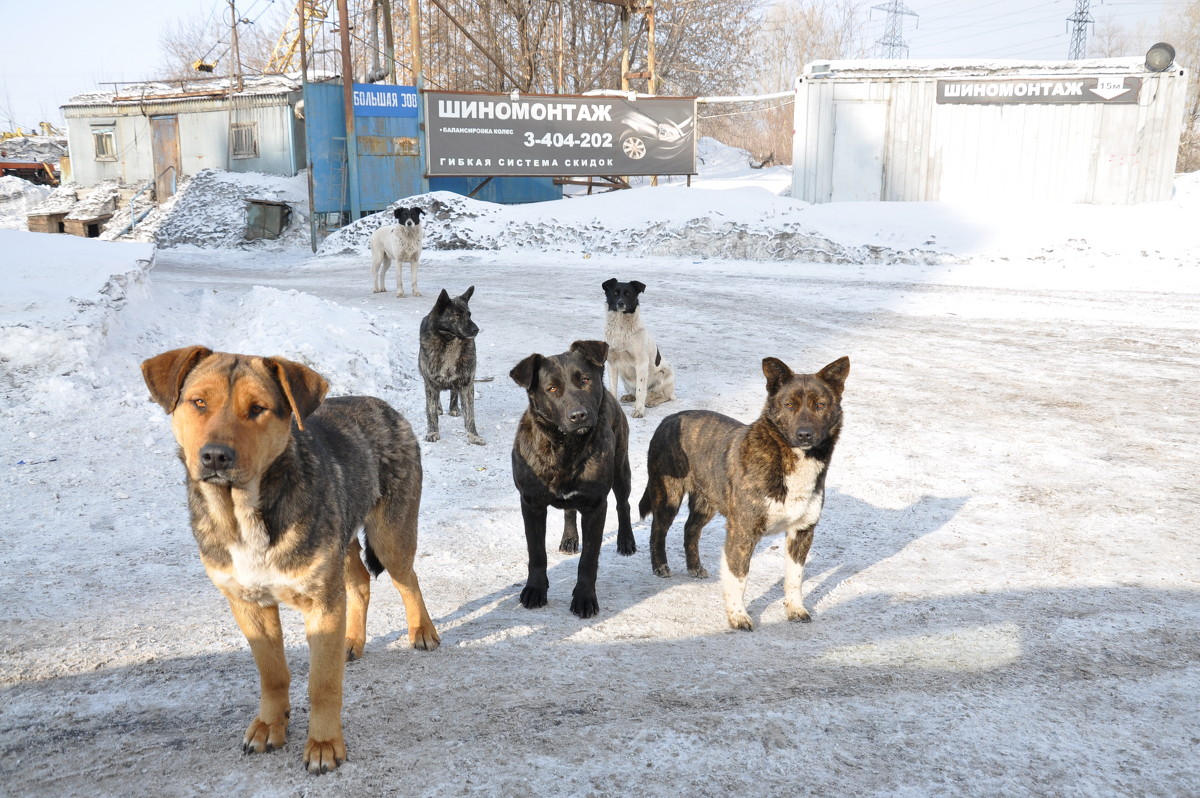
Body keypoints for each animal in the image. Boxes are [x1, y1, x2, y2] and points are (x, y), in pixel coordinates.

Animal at [139, 348, 439, 772]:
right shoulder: (248, 603)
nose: (215, 456)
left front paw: (324, 743)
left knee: (407, 579)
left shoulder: (321, 601)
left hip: (389, 535)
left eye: (258, 409)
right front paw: (270, 725)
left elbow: (323, 683)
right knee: (360, 581)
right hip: (343, 540)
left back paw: (422, 631)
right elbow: (273, 673)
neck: (245, 515)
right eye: (198, 402)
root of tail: (382, 405)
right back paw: (351, 640)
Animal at [417, 286, 482, 444]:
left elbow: (470, 414)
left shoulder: (467, 383)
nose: (476, 329)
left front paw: (473, 435)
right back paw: (439, 407)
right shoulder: (430, 383)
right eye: (457, 315)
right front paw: (433, 432)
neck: (450, 341)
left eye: (469, 314)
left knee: (454, 391)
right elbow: (431, 411)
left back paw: (454, 408)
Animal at [508, 336, 638, 614]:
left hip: (621, 468)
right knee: (569, 510)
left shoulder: (596, 505)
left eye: (585, 380)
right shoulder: (531, 503)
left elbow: (588, 560)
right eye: (551, 388)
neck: (565, 447)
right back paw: (569, 538)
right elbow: (536, 553)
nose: (578, 415)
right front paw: (535, 590)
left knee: (624, 504)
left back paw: (625, 540)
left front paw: (584, 598)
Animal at [600, 278, 676, 420]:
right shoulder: (611, 363)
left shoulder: (641, 363)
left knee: (664, 396)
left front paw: (639, 410)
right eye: (615, 293)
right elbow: (613, 389)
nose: (620, 303)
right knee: (636, 392)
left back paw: (652, 401)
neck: (620, 328)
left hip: (665, 374)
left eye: (628, 294)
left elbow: (641, 391)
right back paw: (629, 397)